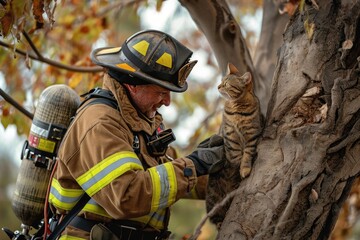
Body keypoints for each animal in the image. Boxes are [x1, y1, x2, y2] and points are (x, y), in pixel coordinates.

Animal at [207, 62, 262, 229]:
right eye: (221, 81)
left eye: (226, 84)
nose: (218, 86)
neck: (238, 109)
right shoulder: (231, 136)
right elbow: (236, 157)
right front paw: (236, 169)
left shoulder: (252, 136)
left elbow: (247, 155)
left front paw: (244, 169)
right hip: (212, 197)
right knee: (215, 217)